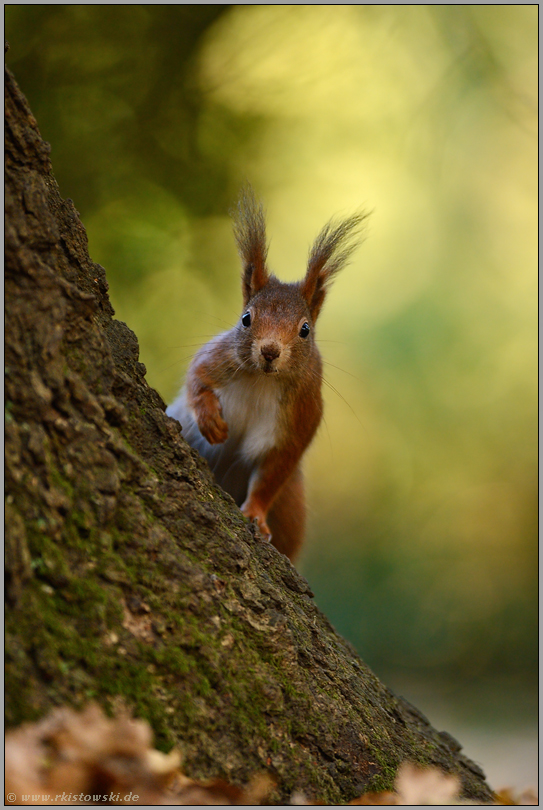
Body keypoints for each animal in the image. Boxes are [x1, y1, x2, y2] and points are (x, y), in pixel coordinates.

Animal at [168, 185, 368, 560]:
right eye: (247, 318)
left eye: (305, 330)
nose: (270, 351)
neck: (263, 378)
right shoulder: (219, 357)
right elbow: (196, 377)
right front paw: (210, 419)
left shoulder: (300, 416)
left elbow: (271, 475)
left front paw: (256, 516)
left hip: (292, 504)